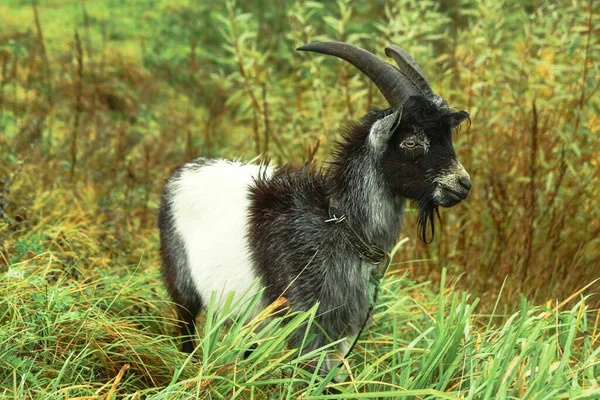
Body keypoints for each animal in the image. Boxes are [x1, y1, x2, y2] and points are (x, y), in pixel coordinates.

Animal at [159, 42, 474, 374]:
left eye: (447, 137)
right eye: (412, 142)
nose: (463, 183)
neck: (337, 224)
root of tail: (182, 171)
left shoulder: (343, 331)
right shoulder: (305, 326)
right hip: (181, 284)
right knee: (185, 323)